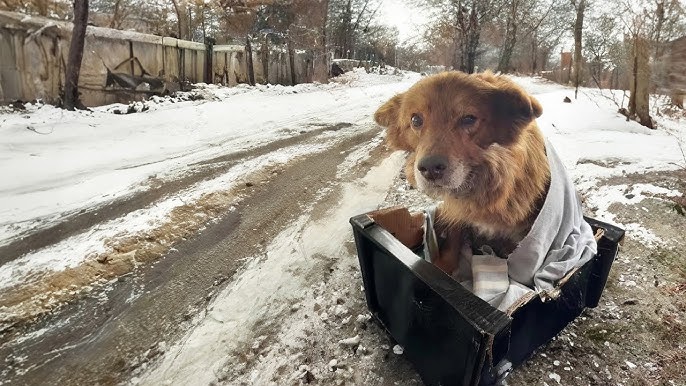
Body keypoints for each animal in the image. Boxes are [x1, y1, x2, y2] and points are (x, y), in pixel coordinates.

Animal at [374, 70, 552, 274]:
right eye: (416, 120)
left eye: (468, 118)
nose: (430, 168)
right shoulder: (458, 213)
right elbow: (454, 236)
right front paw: (443, 265)